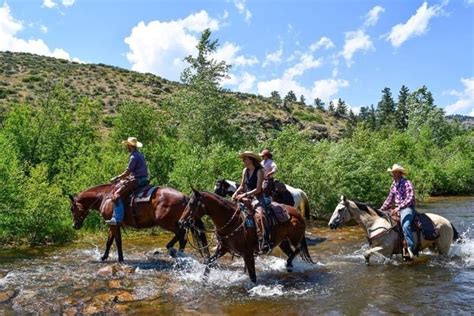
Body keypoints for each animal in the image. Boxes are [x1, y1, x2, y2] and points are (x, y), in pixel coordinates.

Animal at [69, 183, 210, 262]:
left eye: (71, 209)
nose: (74, 225)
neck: (105, 197)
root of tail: (185, 197)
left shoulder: (114, 224)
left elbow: (118, 242)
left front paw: (120, 259)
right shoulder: (112, 224)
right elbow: (109, 242)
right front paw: (103, 257)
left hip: (166, 222)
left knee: (181, 235)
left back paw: (174, 251)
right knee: (181, 236)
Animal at [177, 190, 312, 284]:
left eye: (191, 204)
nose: (181, 222)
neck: (232, 220)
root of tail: (297, 213)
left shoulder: (248, 253)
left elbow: (252, 276)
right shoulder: (224, 248)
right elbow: (209, 262)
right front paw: (203, 281)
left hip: (295, 238)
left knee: (298, 249)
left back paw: (288, 265)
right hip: (283, 242)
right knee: (291, 253)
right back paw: (289, 267)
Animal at [330, 196, 460, 262]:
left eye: (340, 210)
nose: (331, 224)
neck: (376, 223)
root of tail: (449, 222)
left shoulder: (385, 249)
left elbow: (366, 253)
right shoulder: (384, 251)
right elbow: (367, 255)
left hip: (443, 249)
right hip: (434, 246)